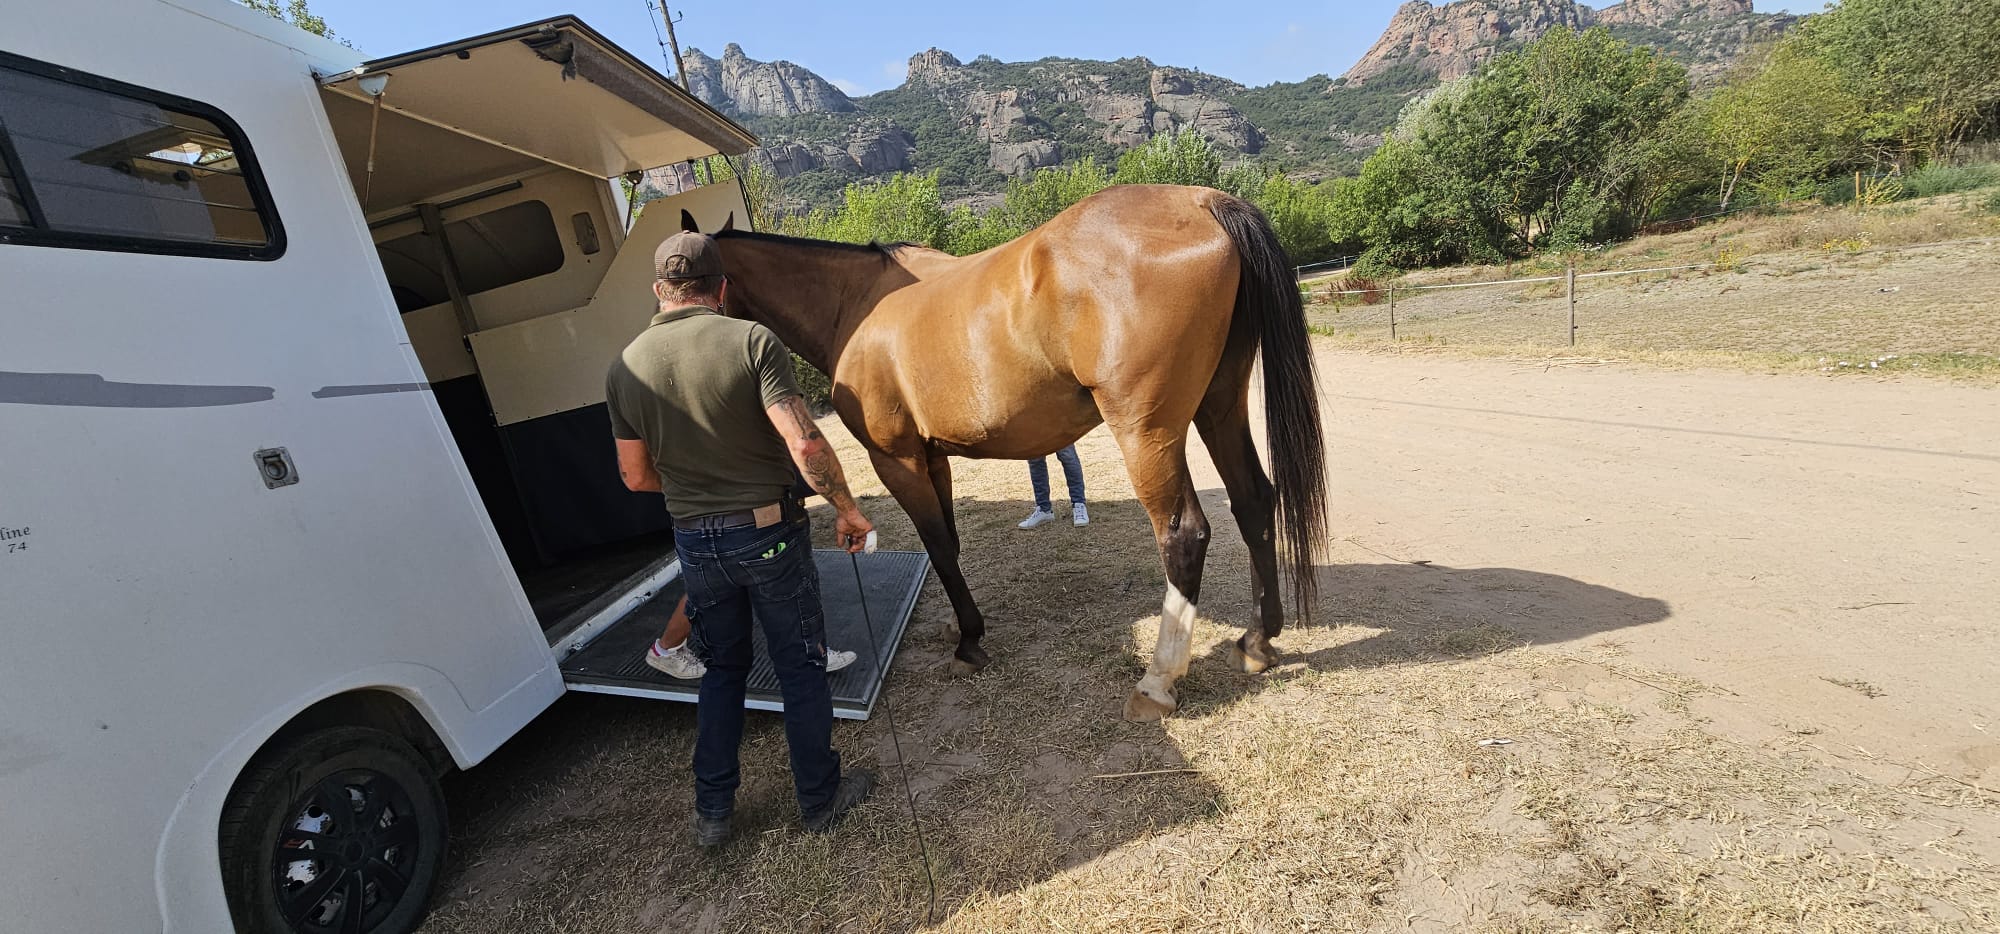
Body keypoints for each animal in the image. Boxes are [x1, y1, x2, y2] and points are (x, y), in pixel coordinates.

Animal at [688, 185, 1328, 724]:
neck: (858, 304)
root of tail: (1203, 201)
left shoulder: (896, 460)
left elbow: (937, 544)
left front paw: (970, 642)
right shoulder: (933, 460)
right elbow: (949, 541)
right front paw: (964, 629)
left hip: (1147, 432)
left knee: (1184, 535)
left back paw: (1157, 681)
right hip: (1218, 408)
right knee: (1253, 503)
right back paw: (1258, 640)